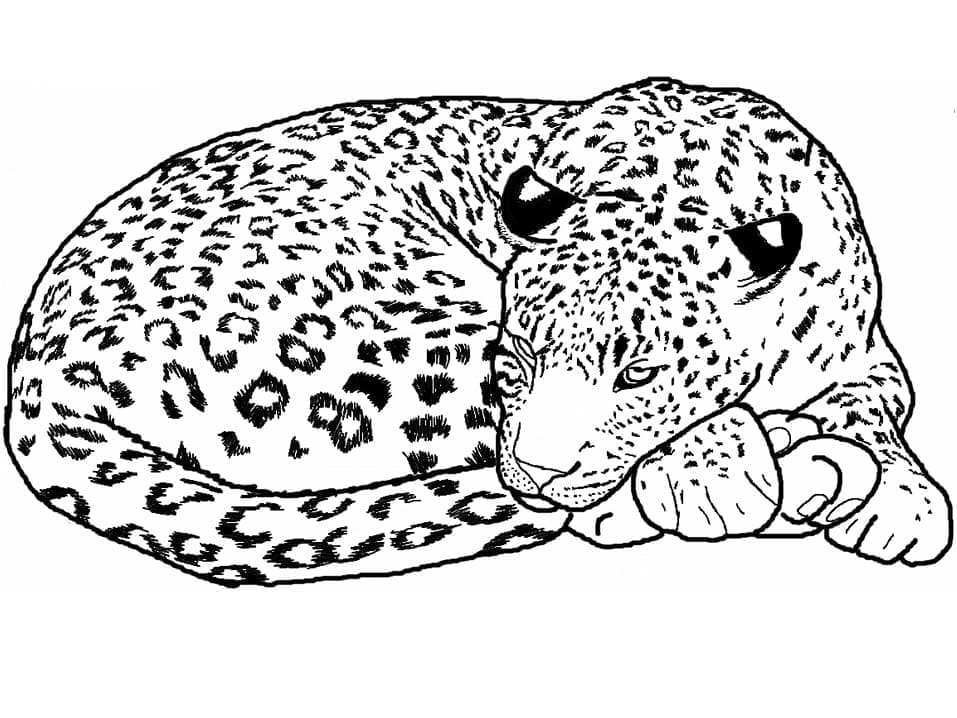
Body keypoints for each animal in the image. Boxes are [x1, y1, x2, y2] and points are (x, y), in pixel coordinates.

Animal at [5, 77, 951, 586]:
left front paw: (903, 505)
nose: (538, 470)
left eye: (638, 374)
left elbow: (876, 403)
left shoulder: (867, 351)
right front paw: (717, 474)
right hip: (394, 334)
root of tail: (40, 359)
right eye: (520, 358)